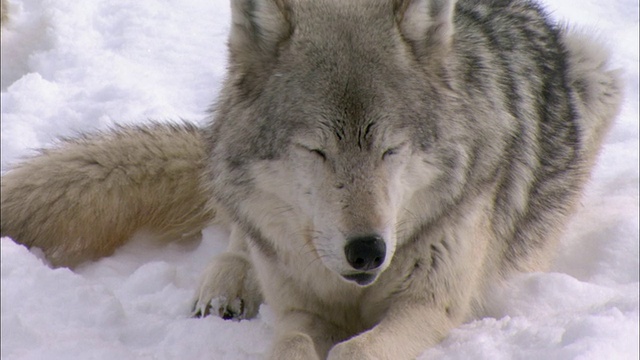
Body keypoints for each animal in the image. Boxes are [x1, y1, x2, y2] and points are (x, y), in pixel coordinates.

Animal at [0, 0, 620, 358]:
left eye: (391, 149)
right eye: (317, 151)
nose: (368, 250)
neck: (350, 289)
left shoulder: (430, 306)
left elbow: (355, 351)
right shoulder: (299, 310)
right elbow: (292, 344)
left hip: (597, 68)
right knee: (234, 233)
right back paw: (225, 285)